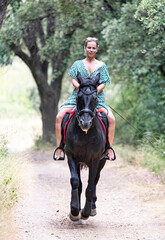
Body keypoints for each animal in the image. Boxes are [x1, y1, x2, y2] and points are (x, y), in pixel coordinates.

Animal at [53, 71, 115, 221]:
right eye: (79, 97)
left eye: (95, 97)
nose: (85, 123)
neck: (85, 134)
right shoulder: (72, 156)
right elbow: (75, 182)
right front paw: (75, 211)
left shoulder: (95, 159)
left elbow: (91, 186)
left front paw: (86, 212)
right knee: (80, 183)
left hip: (102, 161)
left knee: (96, 180)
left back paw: (92, 208)